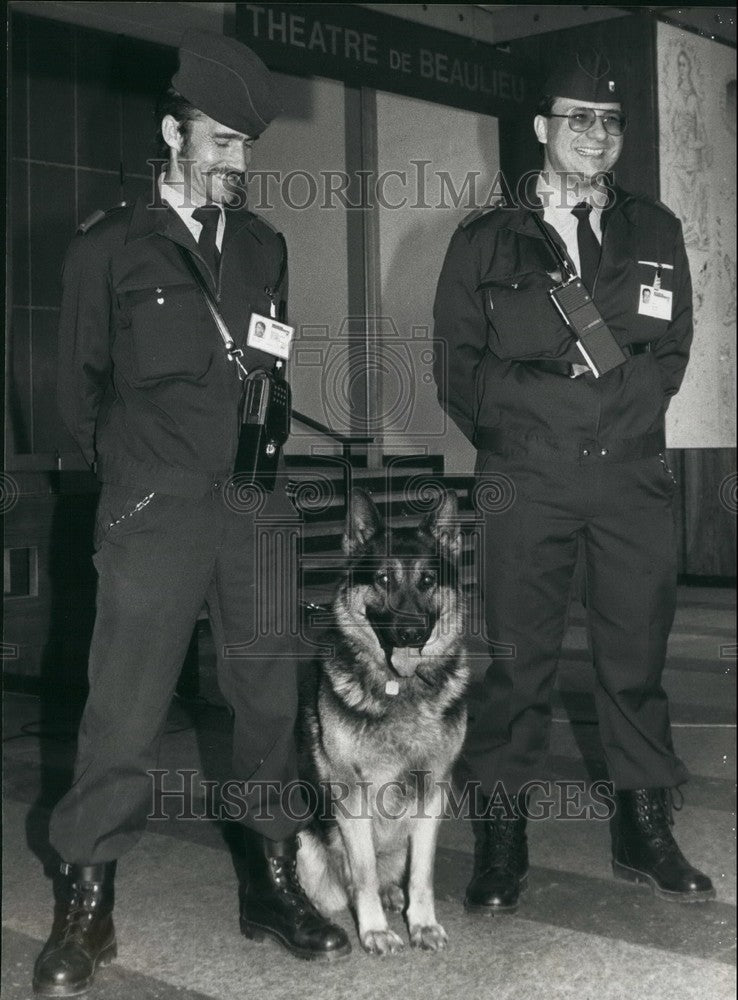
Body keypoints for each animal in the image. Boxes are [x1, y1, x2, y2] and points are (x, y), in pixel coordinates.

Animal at [294, 488, 466, 956]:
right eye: (384, 580)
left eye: (427, 581)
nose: (409, 634)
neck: (398, 690)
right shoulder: (352, 797)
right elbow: (365, 873)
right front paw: (373, 930)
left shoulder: (433, 793)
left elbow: (422, 875)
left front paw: (422, 924)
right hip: (307, 843)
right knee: (347, 883)